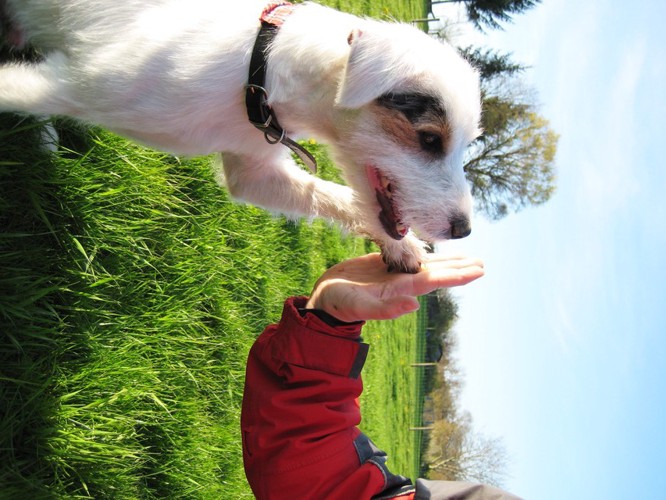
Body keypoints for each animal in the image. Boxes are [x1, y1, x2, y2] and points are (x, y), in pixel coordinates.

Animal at [0, 0, 478, 274]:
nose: (464, 229)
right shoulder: (72, 83)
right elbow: (12, 87)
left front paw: (402, 247)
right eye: (430, 139)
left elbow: (331, 196)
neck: (261, 62)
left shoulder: (255, 170)